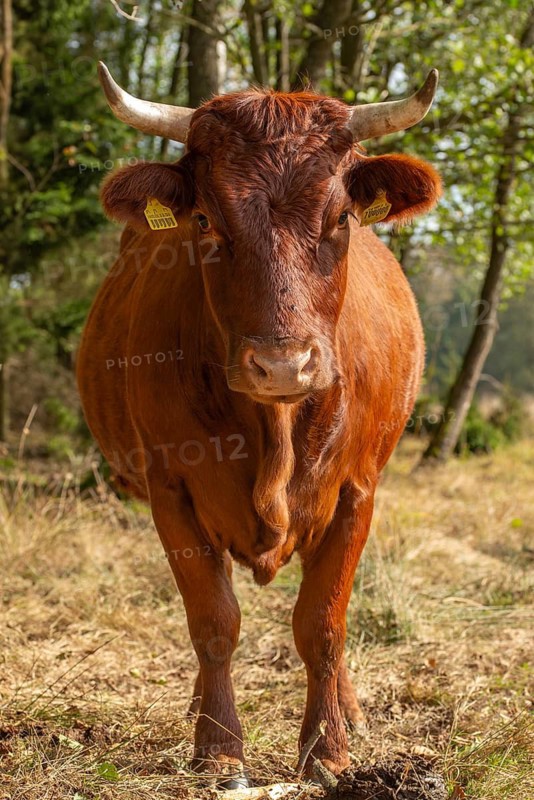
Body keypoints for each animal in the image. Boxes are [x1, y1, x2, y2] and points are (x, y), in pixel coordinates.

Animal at [77, 62, 441, 789]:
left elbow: (323, 624)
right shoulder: (172, 493)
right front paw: (218, 749)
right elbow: (213, 621)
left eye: (341, 217)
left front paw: (328, 748)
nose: (281, 363)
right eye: (204, 220)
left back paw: (349, 711)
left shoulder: (357, 492)